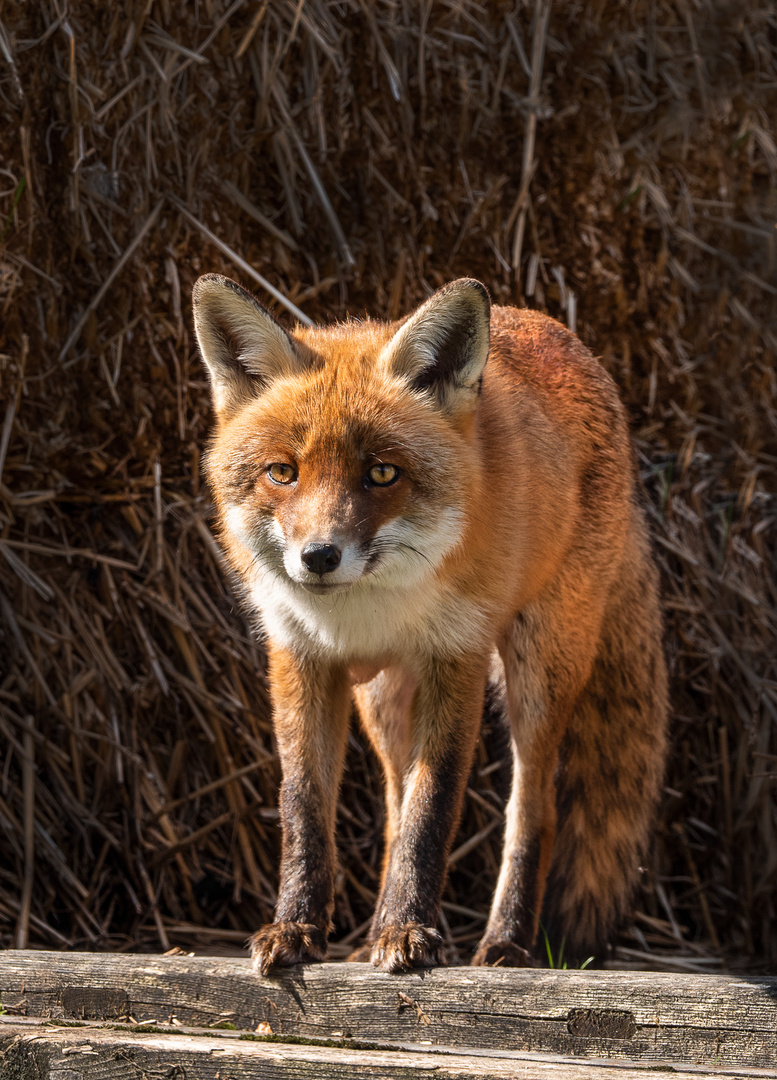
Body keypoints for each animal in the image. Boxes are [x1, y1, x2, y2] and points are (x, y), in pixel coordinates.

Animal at [190, 274, 670, 976]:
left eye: (382, 472)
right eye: (283, 472)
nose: (319, 557)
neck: (369, 610)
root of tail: (565, 338)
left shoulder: (457, 658)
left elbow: (432, 810)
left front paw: (409, 932)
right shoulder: (301, 659)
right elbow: (305, 808)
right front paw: (298, 929)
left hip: (538, 670)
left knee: (535, 809)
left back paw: (505, 943)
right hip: (384, 697)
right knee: (393, 805)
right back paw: (370, 934)